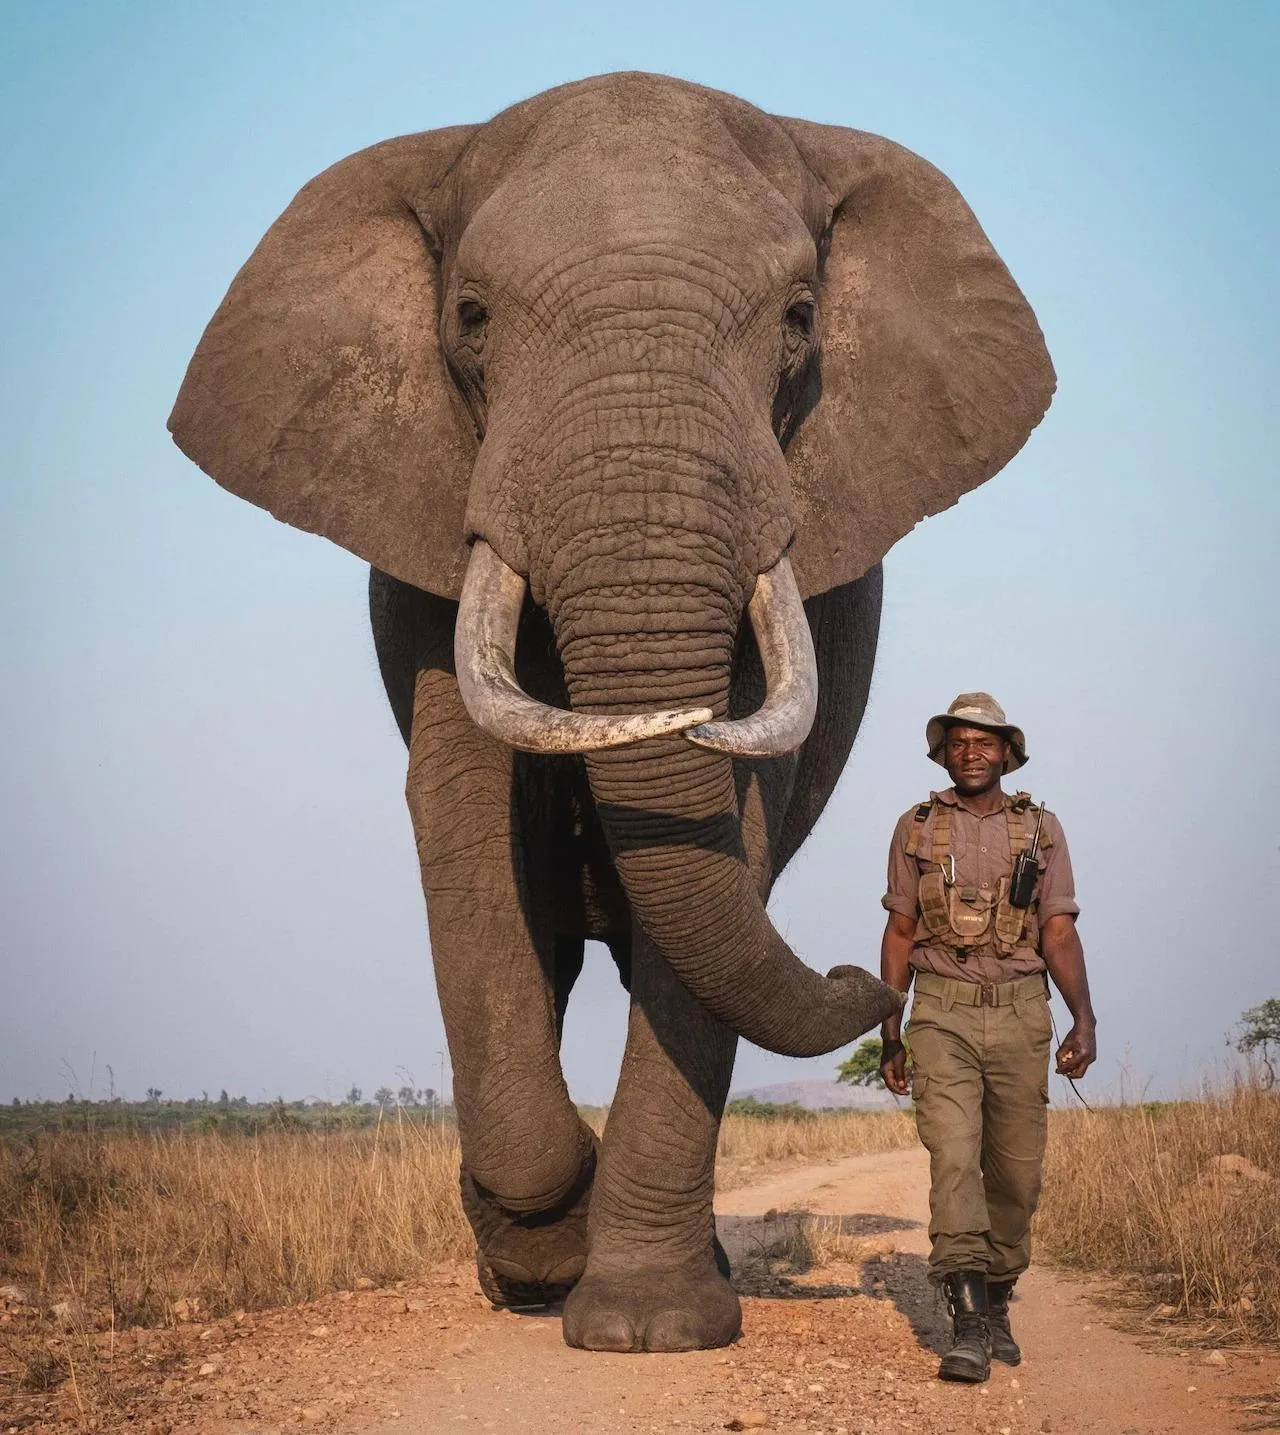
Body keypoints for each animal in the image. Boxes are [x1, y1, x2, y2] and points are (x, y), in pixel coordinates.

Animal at [167, 72, 1050, 1348]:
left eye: (798, 319)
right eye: (471, 316)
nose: (868, 975)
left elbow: (728, 822)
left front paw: (648, 1326)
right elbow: (464, 823)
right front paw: (545, 1253)